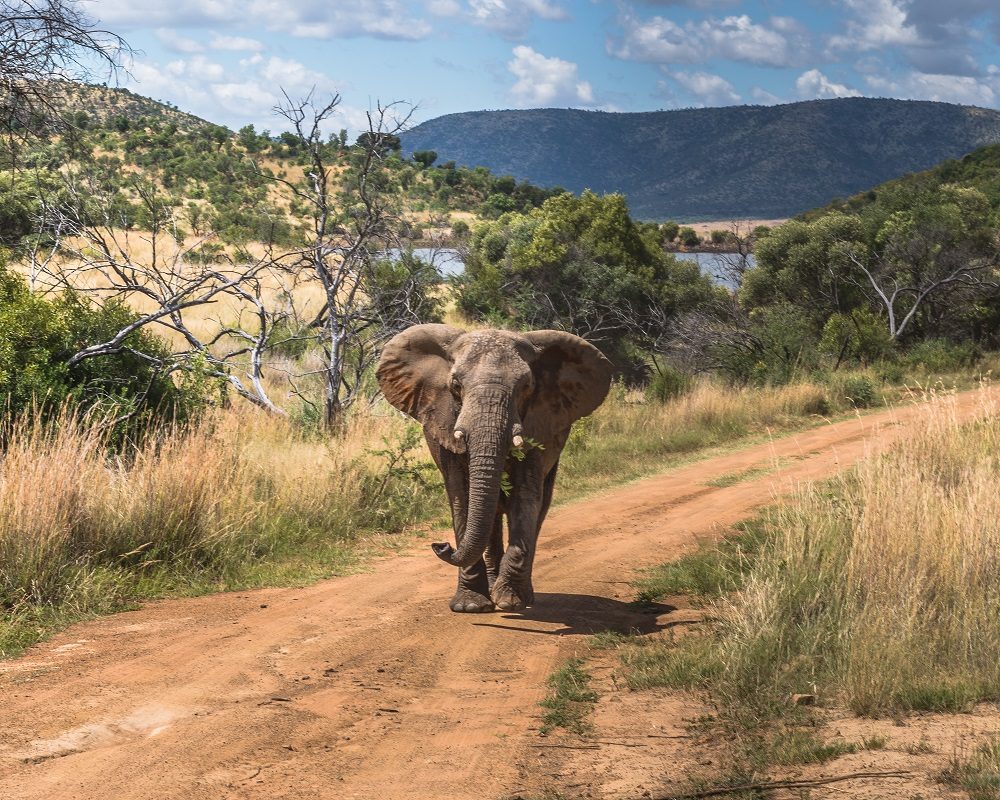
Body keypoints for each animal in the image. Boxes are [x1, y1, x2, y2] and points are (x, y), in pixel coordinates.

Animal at [376, 324, 613, 613]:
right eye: (456, 385)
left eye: (526, 386)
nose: (441, 545)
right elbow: (462, 497)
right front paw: (470, 606)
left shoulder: (540, 423)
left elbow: (525, 498)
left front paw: (511, 601)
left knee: (539, 506)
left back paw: (522, 595)